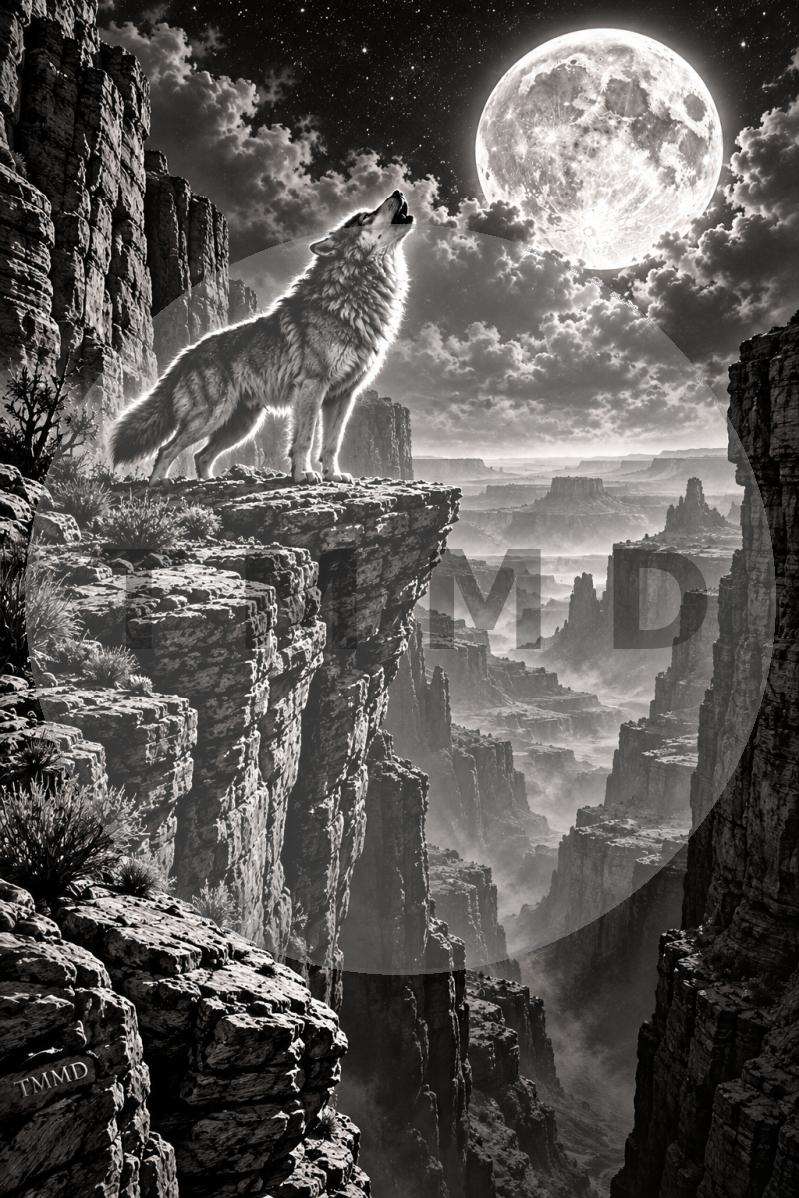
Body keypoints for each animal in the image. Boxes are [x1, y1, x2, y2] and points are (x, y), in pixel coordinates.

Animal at [111, 190, 414, 483]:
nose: (398, 192)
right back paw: (159, 485)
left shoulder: (343, 396)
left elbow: (331, 444)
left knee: (200, 456)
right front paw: (303, 475)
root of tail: (184, 355)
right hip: (210, 417)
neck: (352, 297)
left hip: (240, 425)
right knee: (167, 449)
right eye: (365, 217)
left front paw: (333, 475)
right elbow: (304, 439)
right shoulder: (312, 386)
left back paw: (208, 481)